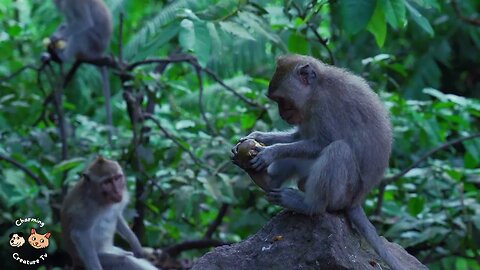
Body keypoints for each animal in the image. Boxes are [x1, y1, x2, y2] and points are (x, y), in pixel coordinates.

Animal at [47, 0, 114, 143]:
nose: (58, 4)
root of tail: (100, 53)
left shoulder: (76, 3)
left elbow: (84, 22)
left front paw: (57, 37)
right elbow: (68, 23)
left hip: (92, 44)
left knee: (81, 33)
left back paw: (62, 57)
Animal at [232, 54, 404, 270]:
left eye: (282, 100)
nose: (281, 114)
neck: (316, 89)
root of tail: (356, 201)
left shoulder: (324, 107)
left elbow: (323, 142)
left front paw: (270, 152)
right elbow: (299, 136)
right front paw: (259, 136)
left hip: (343, 194)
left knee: (339, 150)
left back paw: (308, 205)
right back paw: (266, 180)